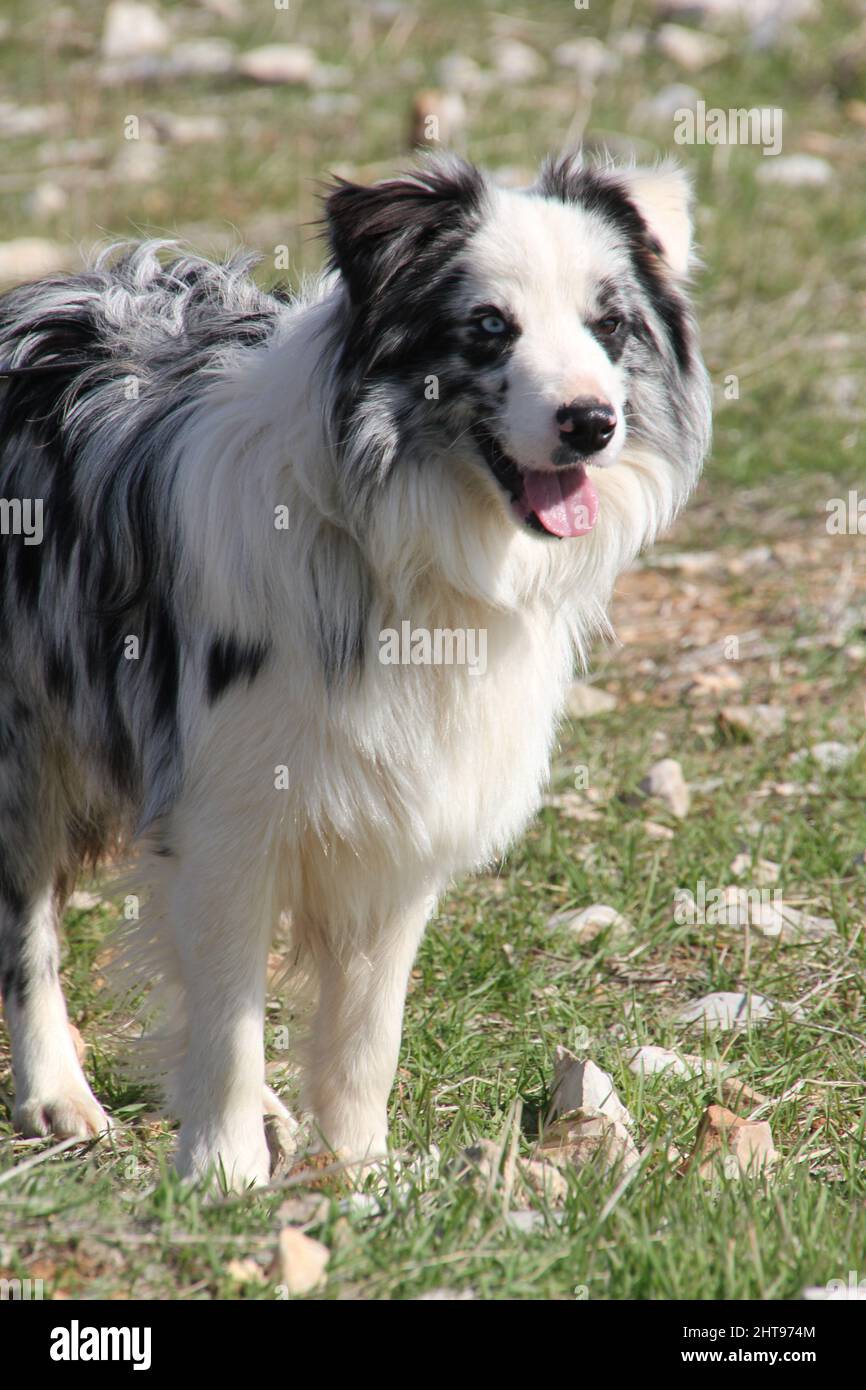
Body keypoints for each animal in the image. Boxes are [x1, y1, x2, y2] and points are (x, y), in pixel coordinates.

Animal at [0, 159, 711, 1184]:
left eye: (610, 325)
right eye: (488, 325)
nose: (591, 422)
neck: (400, 539)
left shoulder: (402, 818)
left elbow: (365, 1031)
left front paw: (358, 1174)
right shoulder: (224, 815)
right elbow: (227, 1017)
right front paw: (221, 1176)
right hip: (28, 749)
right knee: (28, 928)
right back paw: (55, 1093)